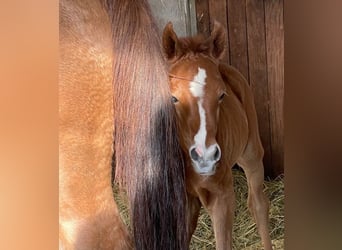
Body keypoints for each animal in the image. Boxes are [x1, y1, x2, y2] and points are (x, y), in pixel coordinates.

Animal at [162, 22, 272, 250]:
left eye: (222, 95)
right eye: (173, 98)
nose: (206, 157)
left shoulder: (221, 197)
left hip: (251, 154)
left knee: (258, 204)